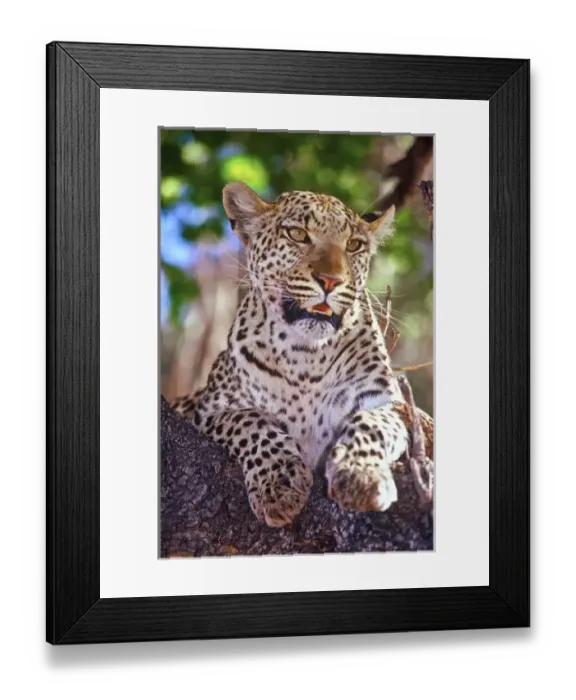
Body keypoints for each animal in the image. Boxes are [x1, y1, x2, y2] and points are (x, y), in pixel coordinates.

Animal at [171, 181, 434, 528]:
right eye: (297, 234)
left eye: (354, 245)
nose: (331, 281)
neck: (307, 356)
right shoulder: (212, 410)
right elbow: (253, 424)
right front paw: (279, 485)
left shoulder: (386, 404)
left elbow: (370, 423)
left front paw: (358, 476)